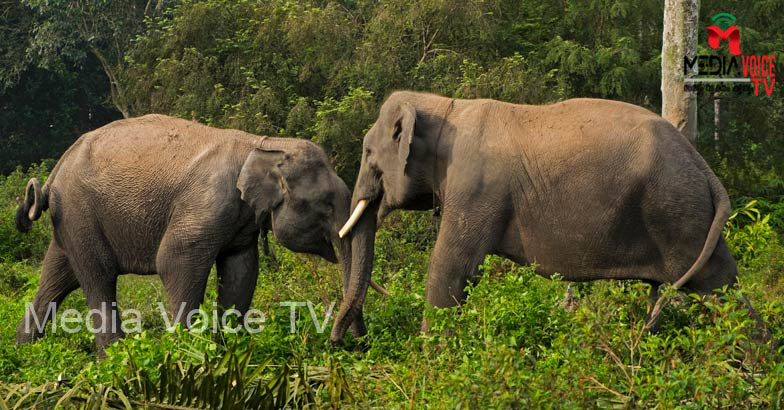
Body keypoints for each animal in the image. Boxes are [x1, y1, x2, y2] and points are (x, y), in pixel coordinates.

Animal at [11, 113, 380, 354]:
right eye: (325, 206)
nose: (347, 345)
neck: (264, 144)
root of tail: (55, 171)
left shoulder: (240, 220)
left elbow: (241, 272)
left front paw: (228, 350)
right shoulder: (209, 200)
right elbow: (174, 259)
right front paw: (188, 354)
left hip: (72, 219)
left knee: (59, 276)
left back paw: (24, 351)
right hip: (80, 211)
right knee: (98, 276)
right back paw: (117, 358)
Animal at [330, 91, 764, 348]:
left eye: (368, 152)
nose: (343, 343)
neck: (444, 104)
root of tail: (703, 165)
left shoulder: (476, 187)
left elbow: (450, 269)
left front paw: (432, 363)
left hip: (677, 212)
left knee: (716, 290)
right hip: (689, 216)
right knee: (723, 285)